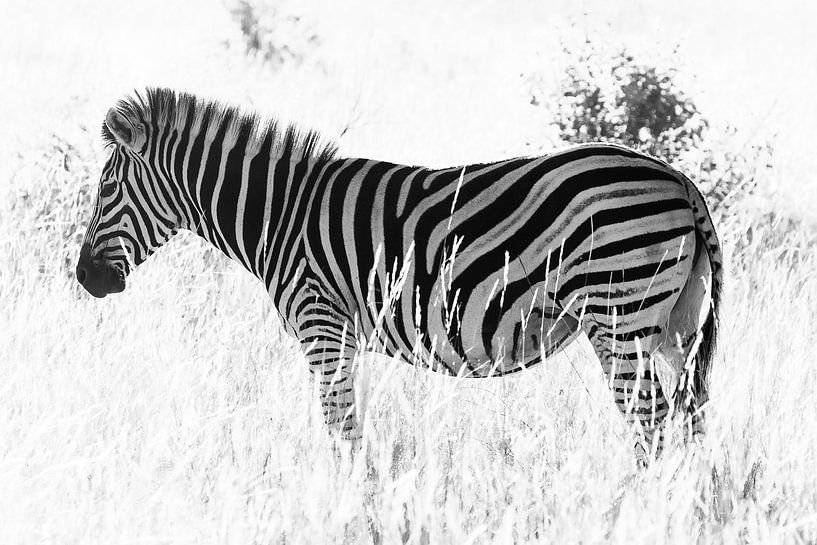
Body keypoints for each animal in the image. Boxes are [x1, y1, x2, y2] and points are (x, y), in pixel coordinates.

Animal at [76, 88, 722, 460]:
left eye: (105, 188)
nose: (84, 278)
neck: (280, 214)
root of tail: (680, 180)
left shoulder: (323, 328)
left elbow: (342, 433)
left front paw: (353, 509)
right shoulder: (338, 335)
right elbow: (349, 431)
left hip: (619, 315)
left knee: (650, 427)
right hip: (674, 326)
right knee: (687, 426)